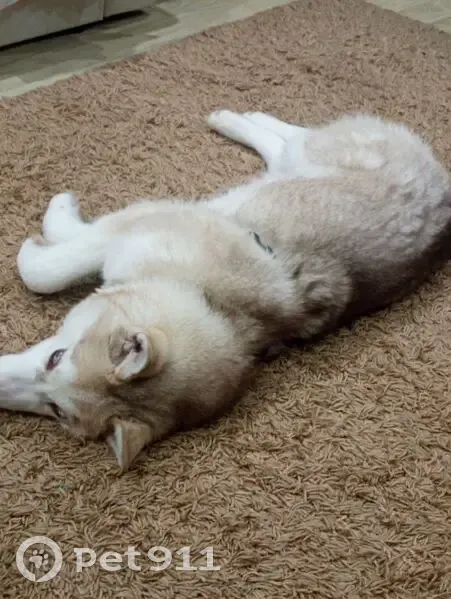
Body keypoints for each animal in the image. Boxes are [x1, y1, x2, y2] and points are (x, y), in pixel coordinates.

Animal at [0, 109, 450, 472]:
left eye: (57, 409)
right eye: (56, 358)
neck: (210, 302)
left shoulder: (139, 224)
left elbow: (45, 269)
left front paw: (49, 228)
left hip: (310, 156)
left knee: (290, 139)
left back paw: (232, 118)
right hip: (299, 164)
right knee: (286, 140)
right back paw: (238, 117)